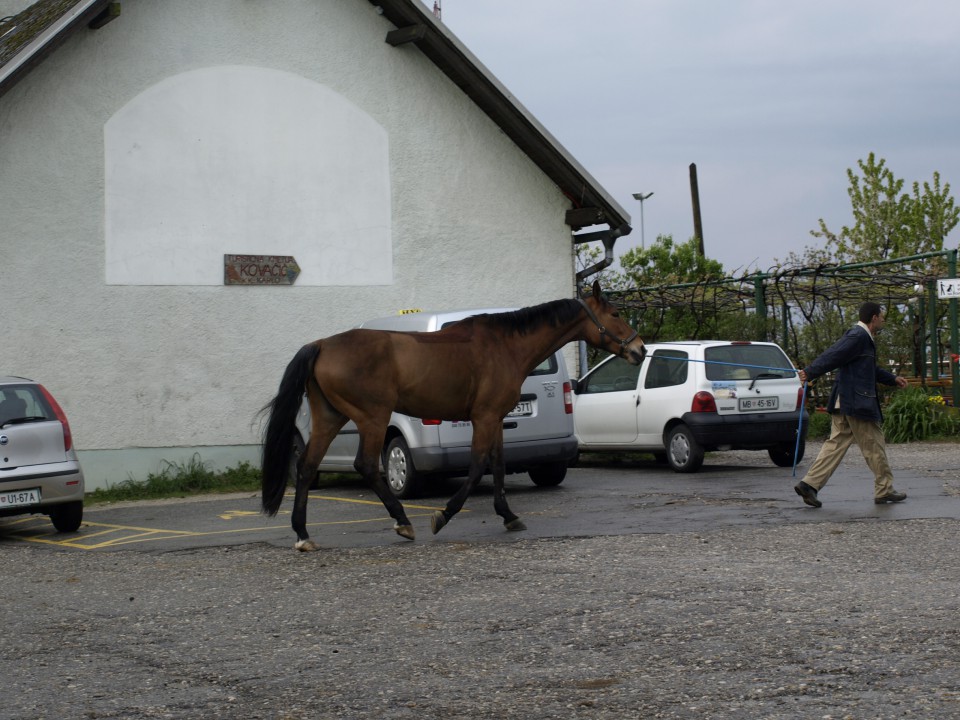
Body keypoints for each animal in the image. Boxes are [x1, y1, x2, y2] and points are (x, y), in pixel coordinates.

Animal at [260, 282, 644, 552]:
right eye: (614, 314)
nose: (639, 350)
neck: (506, 346)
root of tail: (322, 344)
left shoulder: (495, 419)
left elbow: (499, 466)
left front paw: (509, 516)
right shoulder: (484, 418)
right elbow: (476, 469)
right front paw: (442, 516)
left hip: (331, 417)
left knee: (307, 466)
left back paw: (303, 535)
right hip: (372, 418)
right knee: (366, 465)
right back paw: (402, 522)